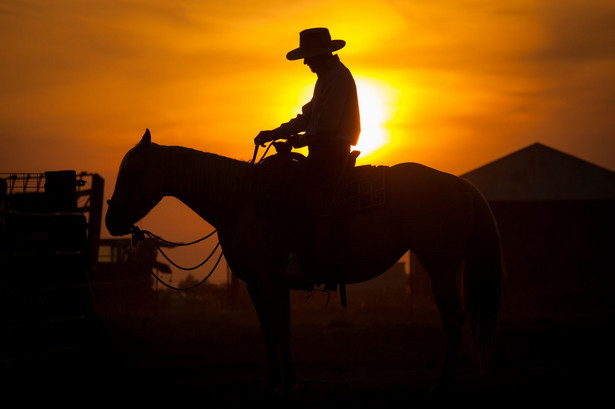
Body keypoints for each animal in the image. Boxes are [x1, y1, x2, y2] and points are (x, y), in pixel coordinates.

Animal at [104, 130, 500, 398]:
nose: (111, 221)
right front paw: (274, 383)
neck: (239, 200)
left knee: (454, 318)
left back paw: (443, 383)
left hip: (441, 266)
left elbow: (280, 330)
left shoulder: (269, 280)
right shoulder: (256, 284)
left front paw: (287, 385)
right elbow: (269, 332)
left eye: (130, 173)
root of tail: (461, 185)